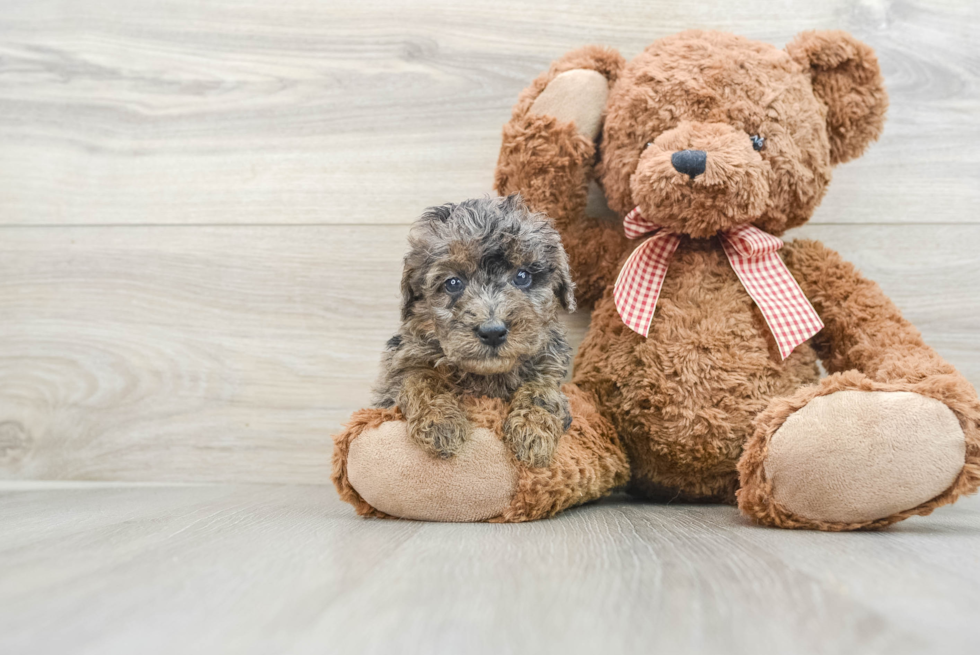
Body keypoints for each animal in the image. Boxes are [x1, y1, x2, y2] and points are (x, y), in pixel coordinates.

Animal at [374, 195, 576, 466]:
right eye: (453, 283)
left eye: (523, 276)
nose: (492, 332)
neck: (485, 376)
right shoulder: (404, 362)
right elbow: (420, 380)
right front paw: (441, 424)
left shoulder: (548, 365)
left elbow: (543, 391)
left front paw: (533, 432)